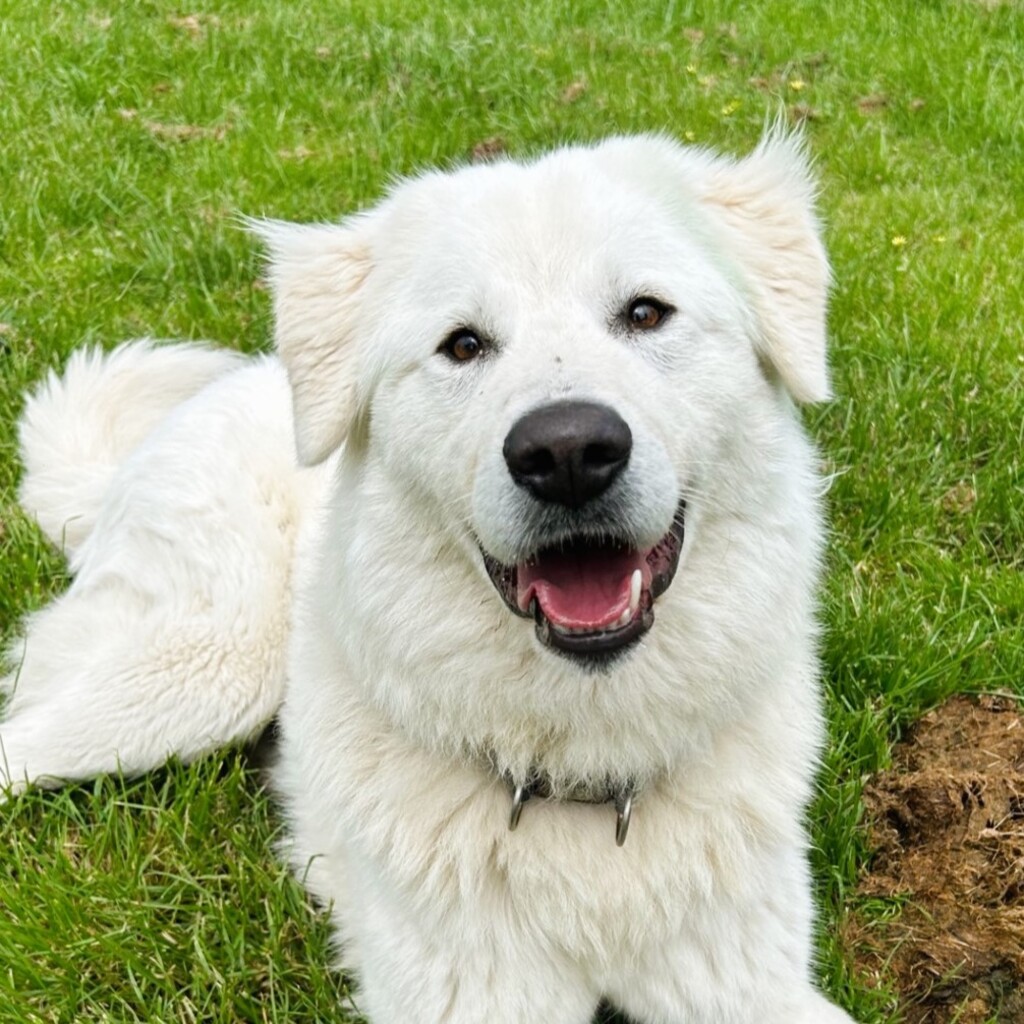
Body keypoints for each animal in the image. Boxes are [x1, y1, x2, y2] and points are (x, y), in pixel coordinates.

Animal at [2, 132, 856, 1019]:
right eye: (464, 345)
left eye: (646, 313)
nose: (567, 452)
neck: (582, 775)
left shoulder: (758, 986)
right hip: (203, 676)